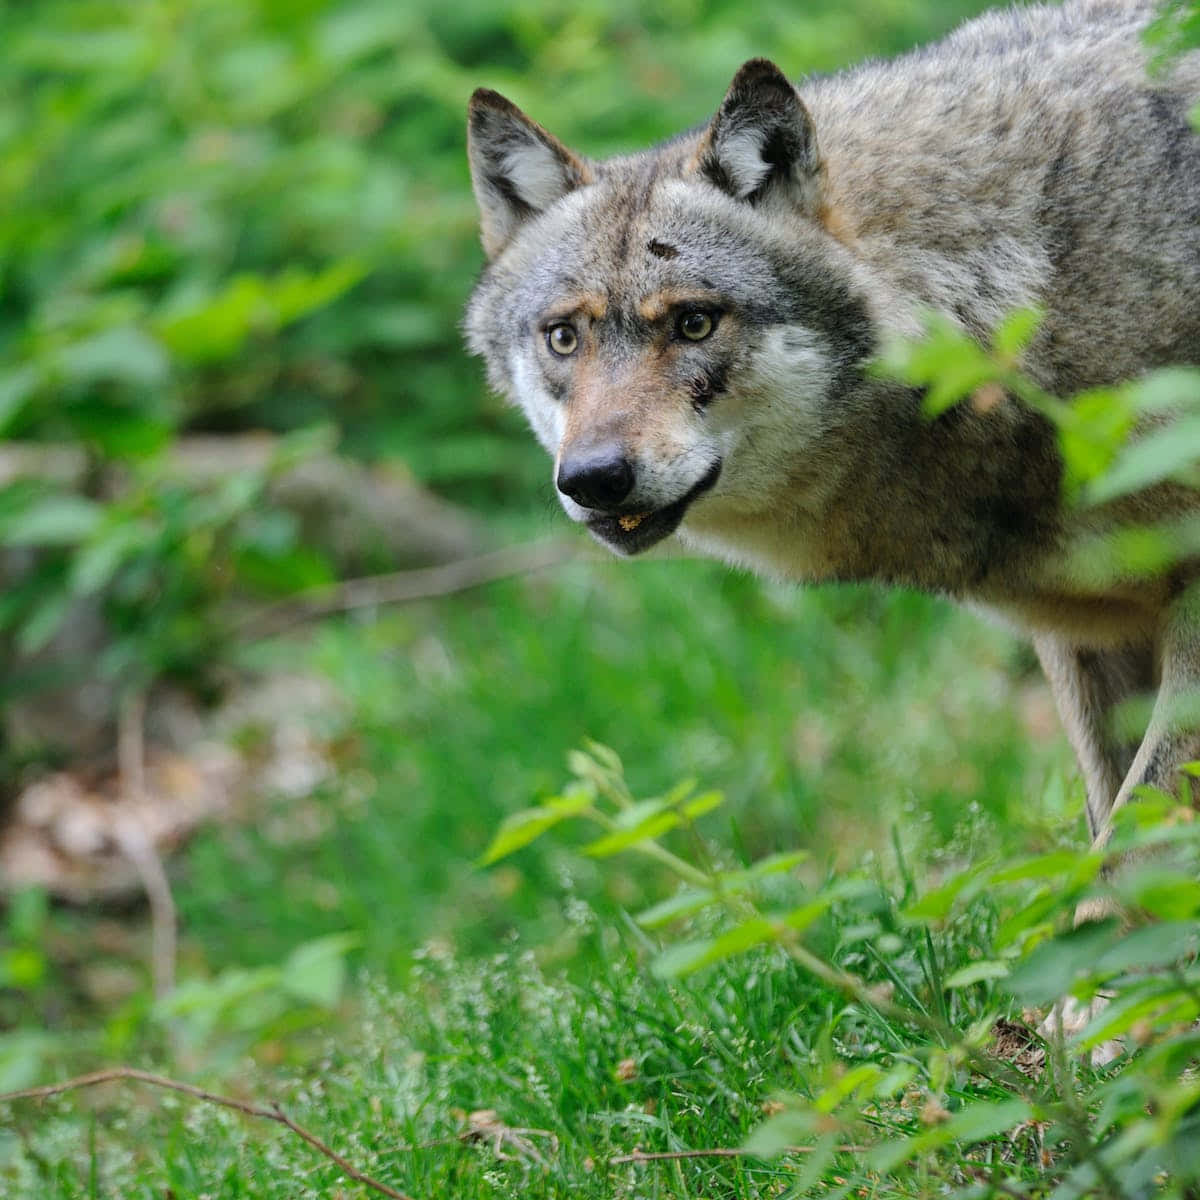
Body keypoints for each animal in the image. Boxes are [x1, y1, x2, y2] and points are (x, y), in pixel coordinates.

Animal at [465, 2, 1200, 864]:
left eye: (694, 322)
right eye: (563, 338)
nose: (593, 478)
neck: (1024, 278)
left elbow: (1127, 855)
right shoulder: (1084, 635)